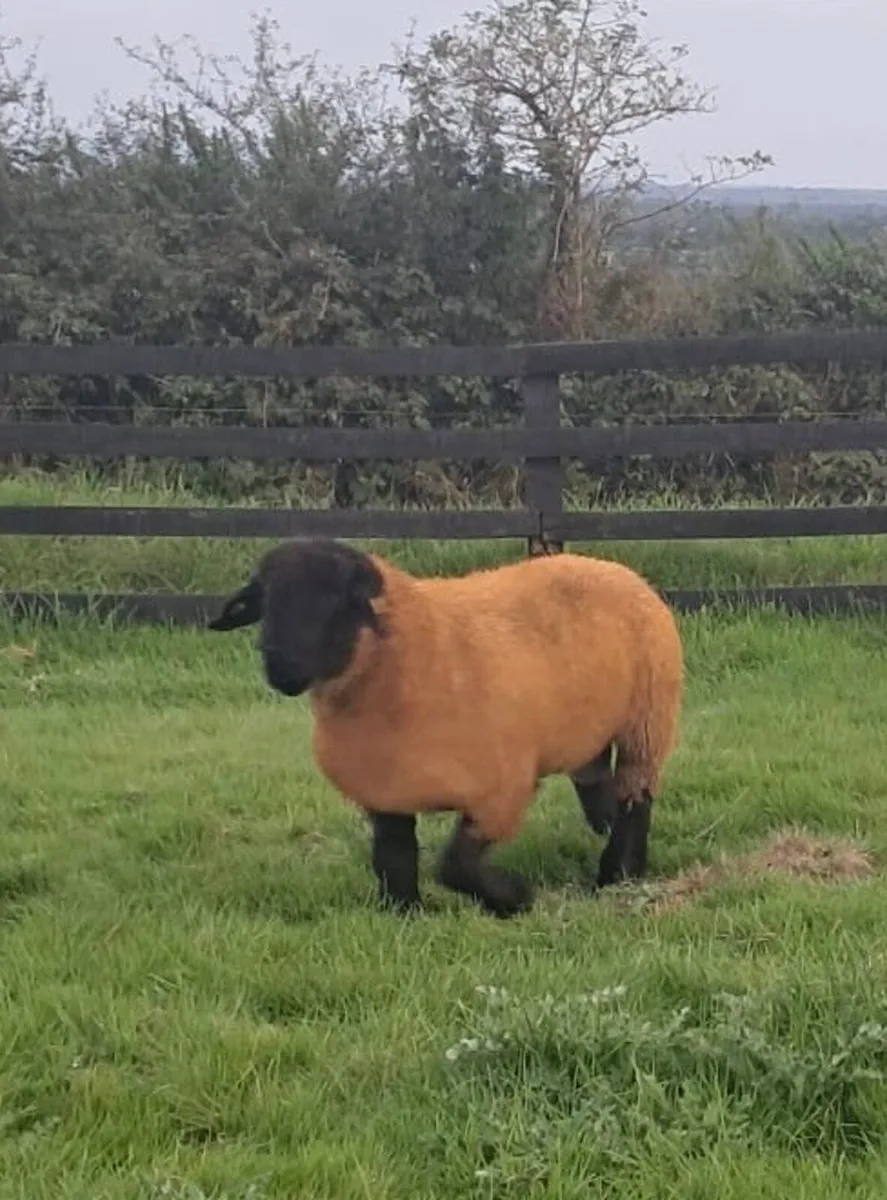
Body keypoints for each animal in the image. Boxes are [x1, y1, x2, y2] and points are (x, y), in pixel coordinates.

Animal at [207, 537, 684, 919]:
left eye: (332, 601)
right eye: (265, 604)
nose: (277, 664)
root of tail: (607, 565)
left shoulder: (500, 790)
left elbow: (454, 866)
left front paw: (514, 899)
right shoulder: (387, 791)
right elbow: (394, 859)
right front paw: (404, 914)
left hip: (647, 720)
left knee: (636, 795)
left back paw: (619, 872)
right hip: (587, 727)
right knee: (596, 780)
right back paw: (605, 838)